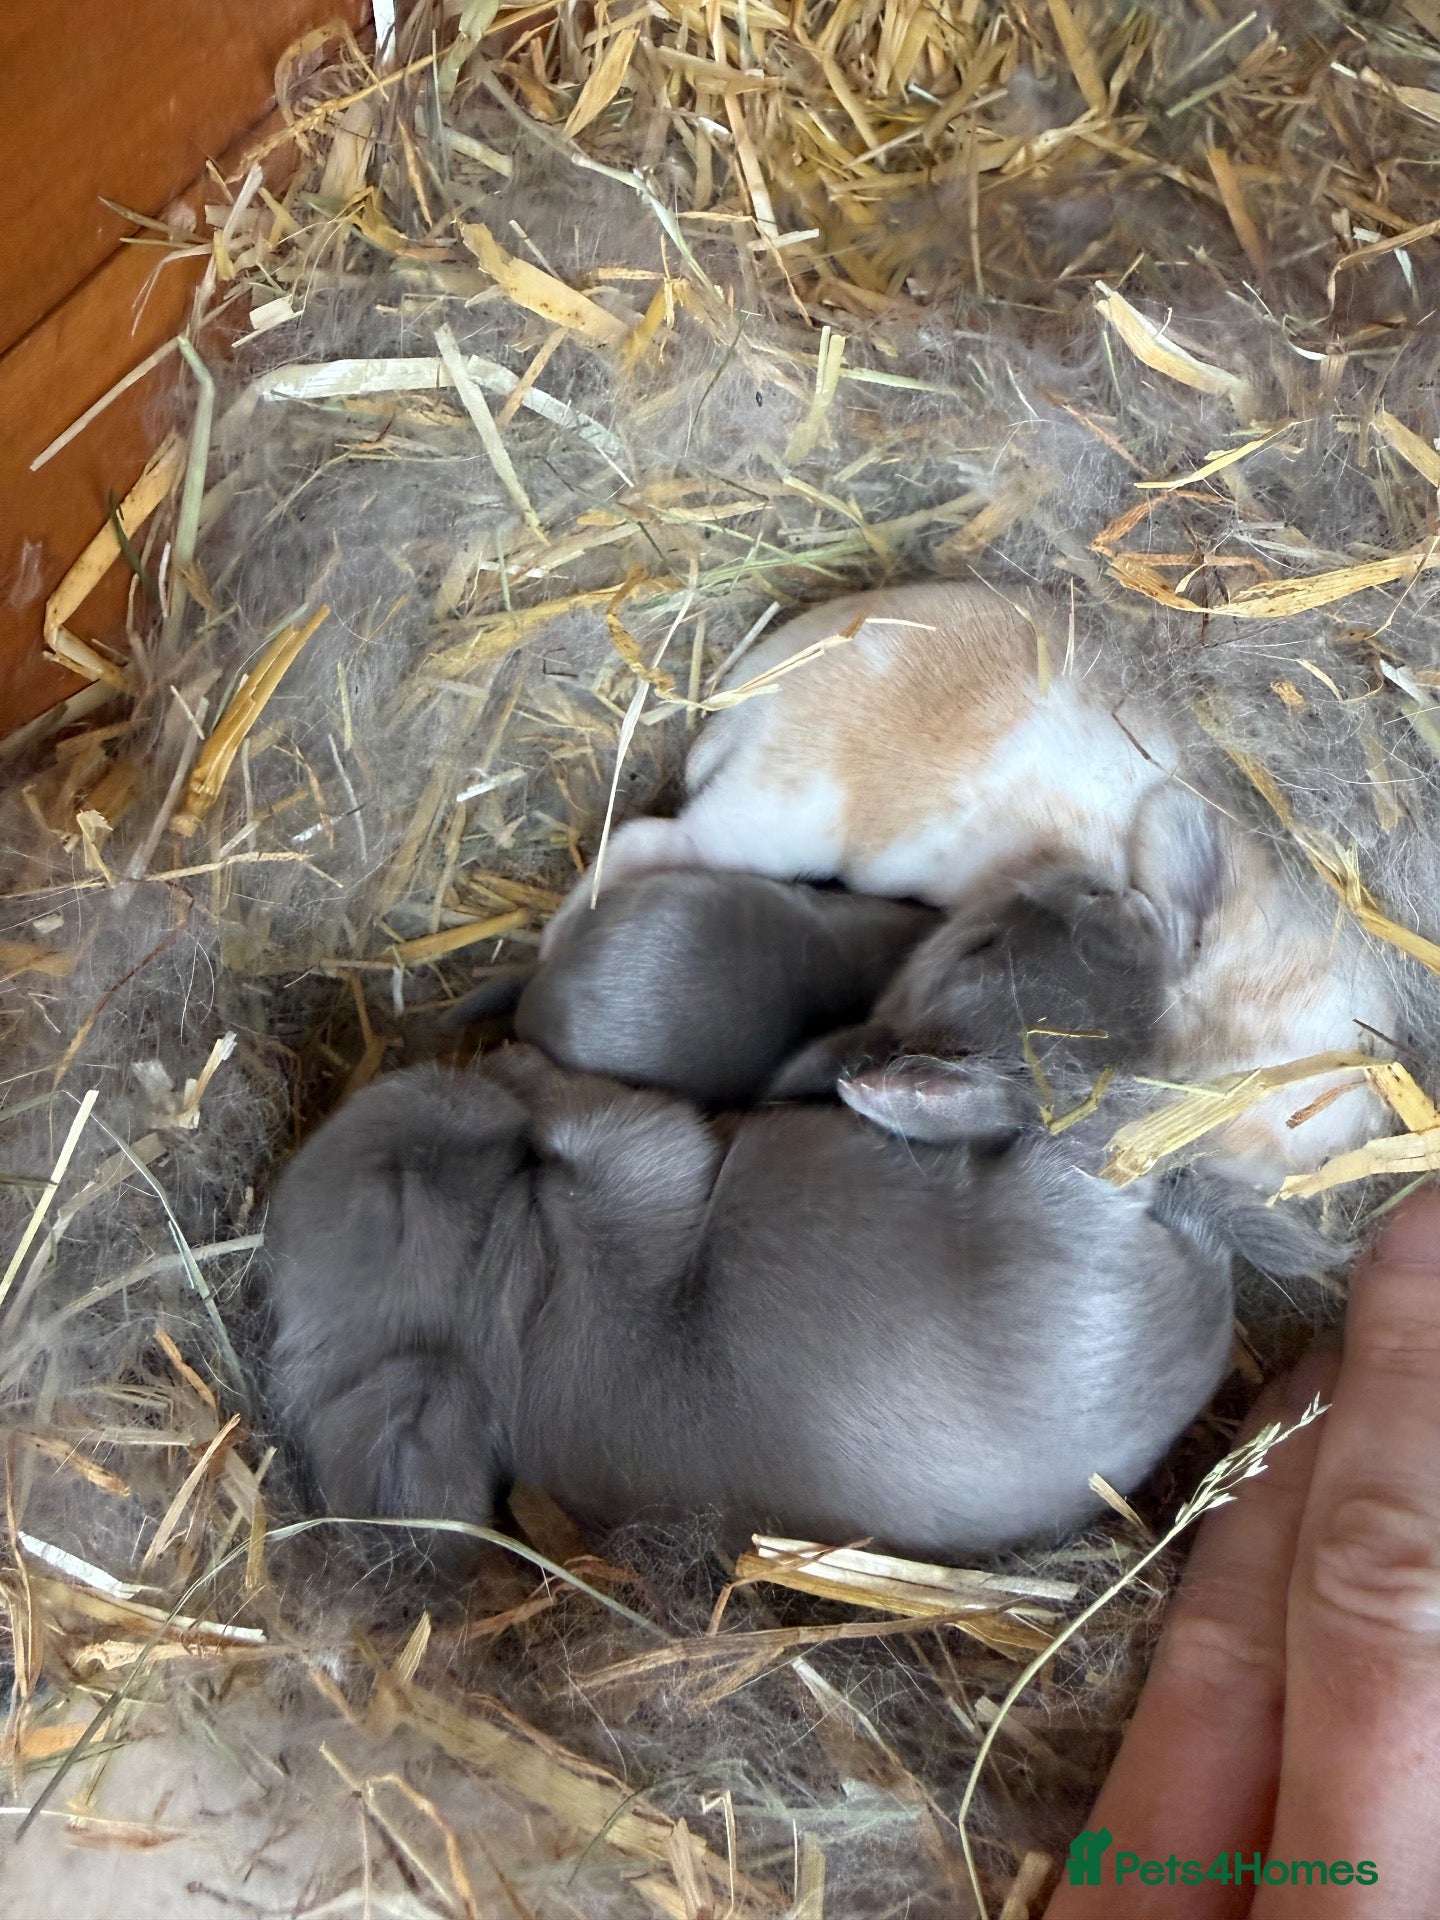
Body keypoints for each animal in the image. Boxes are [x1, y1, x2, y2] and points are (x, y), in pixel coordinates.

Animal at [264, 1046, 1327, 1568]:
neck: (509, 1314)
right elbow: (614, 1124)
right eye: (397, 1192)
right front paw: (529, 1074)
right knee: (1081, 1145)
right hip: (1060, 1197)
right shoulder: (631, 1171)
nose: (444, 1073)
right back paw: (905, 1094)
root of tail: (1205, 1305)